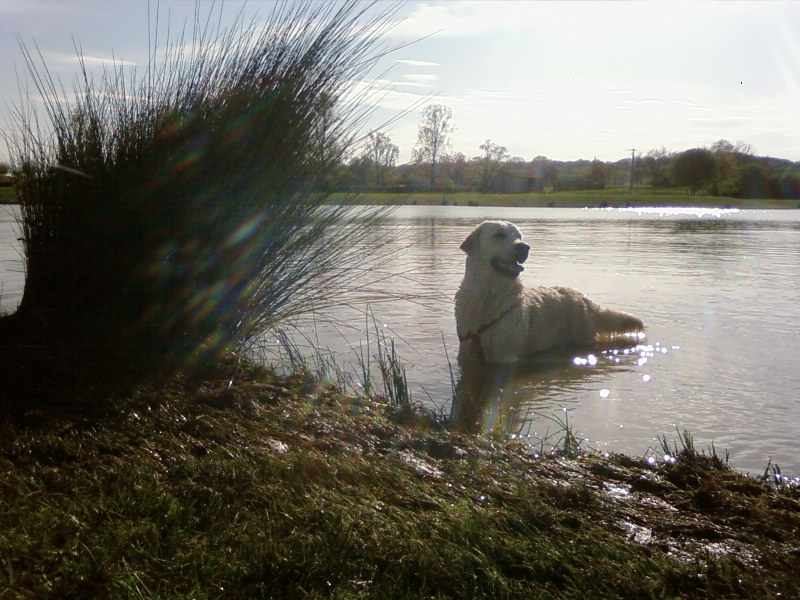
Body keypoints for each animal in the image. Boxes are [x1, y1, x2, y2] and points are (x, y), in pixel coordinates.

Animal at [456, 219, 644, 364]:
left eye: (519, 237)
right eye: (499, 235)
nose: (524, 247)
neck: (488, 296)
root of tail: (584, 298)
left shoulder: (506, 356)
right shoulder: (466, 352)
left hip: (582, 336)